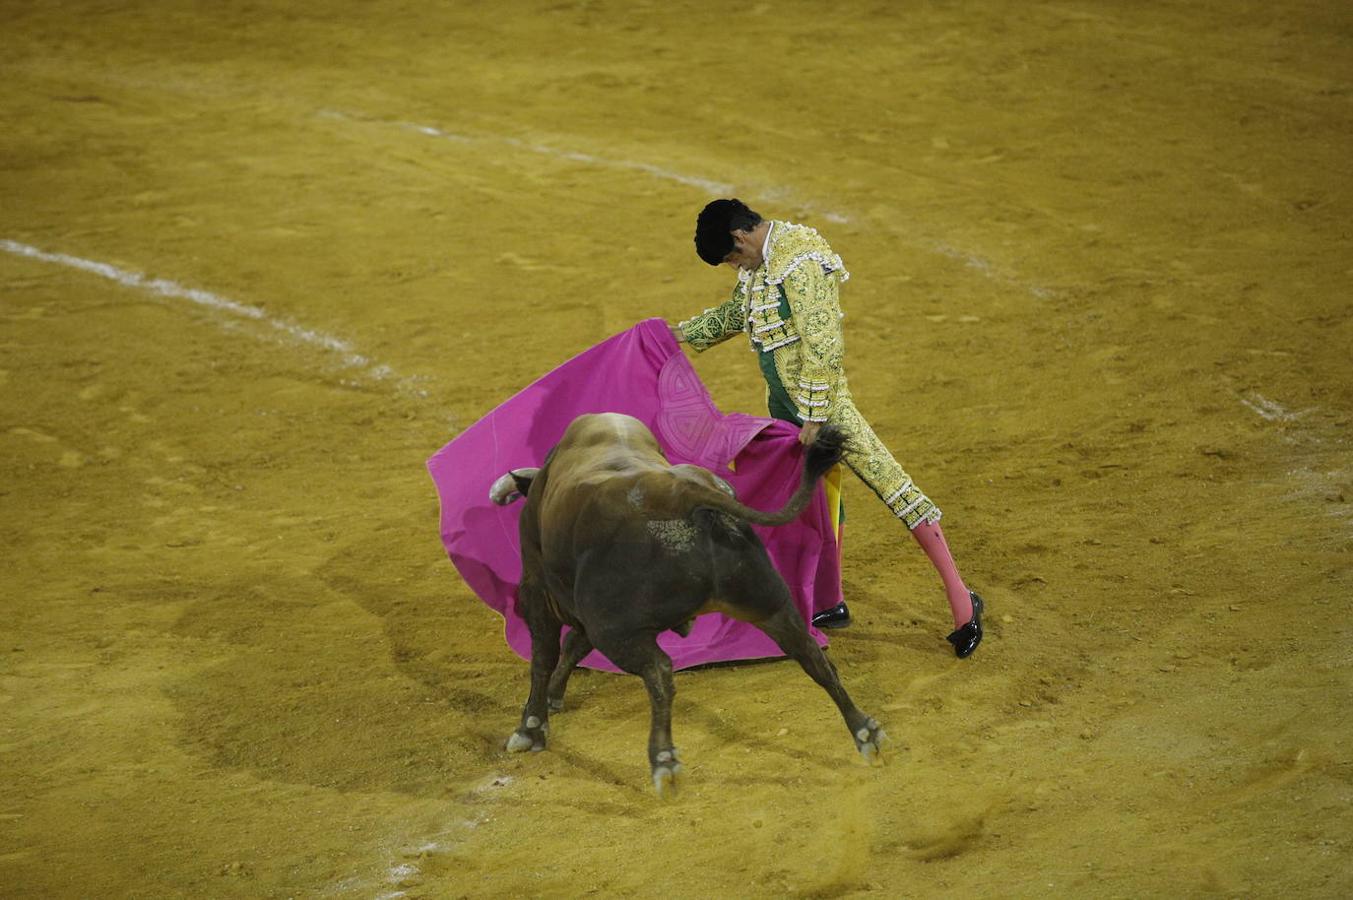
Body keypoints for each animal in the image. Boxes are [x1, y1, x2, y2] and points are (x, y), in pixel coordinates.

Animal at [492, 408, 882, 795]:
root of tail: (685, 493)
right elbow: (573, 645)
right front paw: (553, 698)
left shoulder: (540, 591)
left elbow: (545, 656)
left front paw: (530, 727)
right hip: (769, 603)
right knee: (812, 656)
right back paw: (865, 731)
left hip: (615, 630)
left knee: (660, 671)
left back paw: (663, 759)